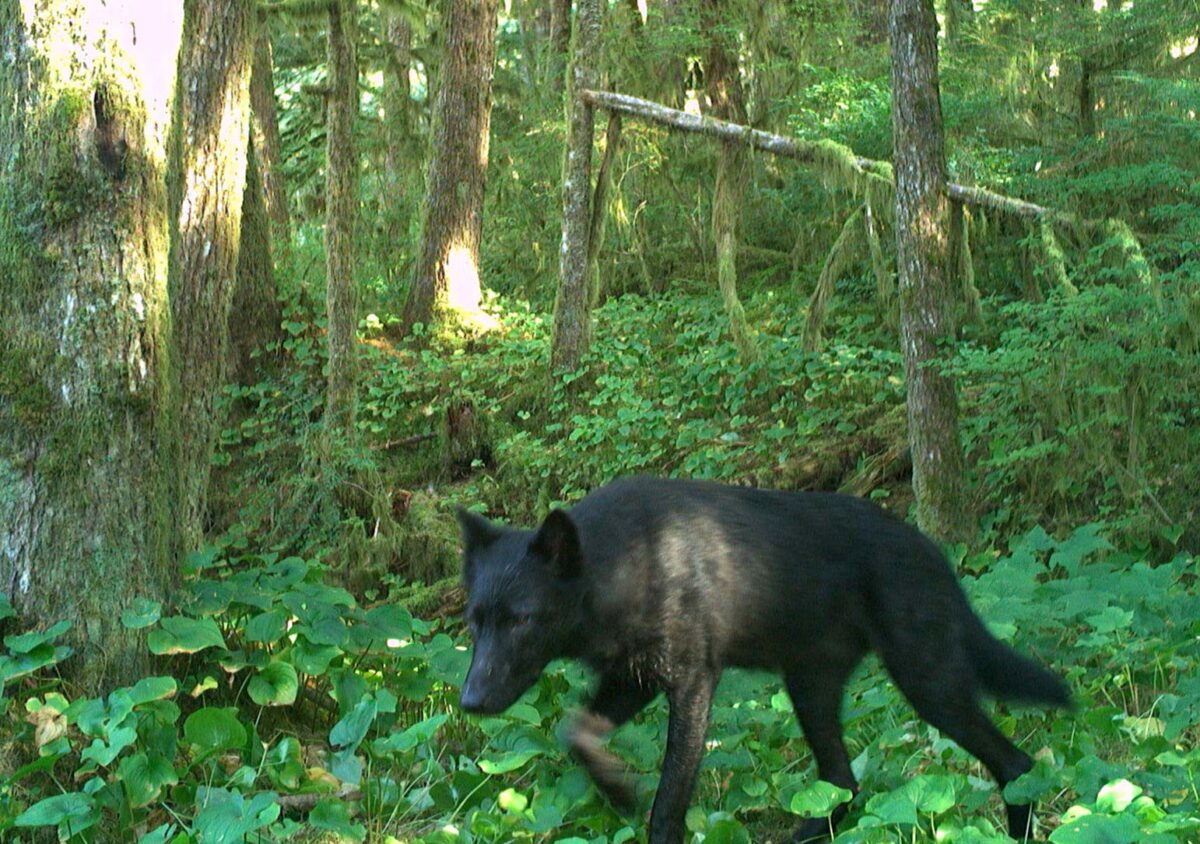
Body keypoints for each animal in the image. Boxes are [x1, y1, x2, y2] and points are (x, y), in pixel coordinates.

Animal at [456, 476, 1070, 843]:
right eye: (475, 620)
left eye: (521, 620)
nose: (471, 702)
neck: (625, 566)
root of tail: (934, 552)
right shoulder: (632, 680)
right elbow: (576, 734)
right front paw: (618, 791)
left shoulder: (692, 683)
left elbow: (668, 803)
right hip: (812, 691)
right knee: (843, 784)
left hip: (929, 685)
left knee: (1016, 766)